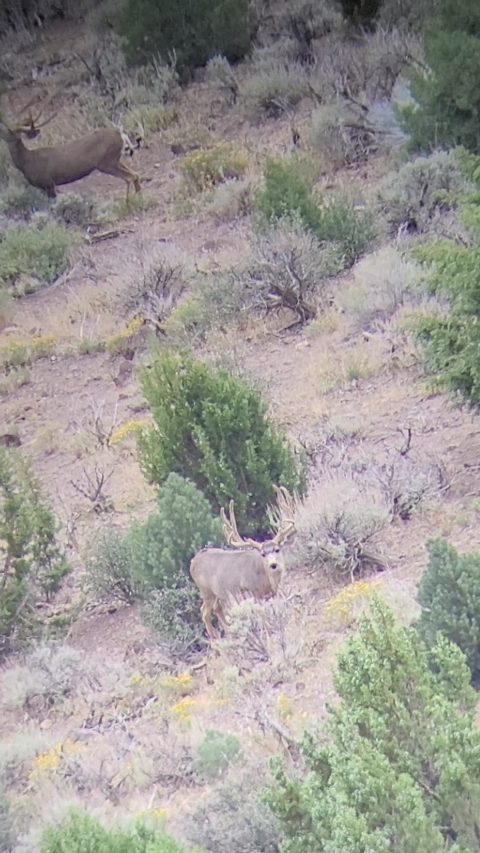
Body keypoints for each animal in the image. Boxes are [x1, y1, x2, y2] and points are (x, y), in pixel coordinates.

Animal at [0, 103, 141, 199]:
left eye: (10, 131)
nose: (1, 129)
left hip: (106, 162)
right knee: (135, 174)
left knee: (129, 177)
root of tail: (120, 133)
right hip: (115, 159)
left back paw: (128, 202)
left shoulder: (48, 183)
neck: (28, 162)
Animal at [190, 487, 296, 640]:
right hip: (206, 591)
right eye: (263, 554)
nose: (273, 565)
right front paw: (268, 633)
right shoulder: (251, 592)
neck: (266, 580)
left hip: (218, 594)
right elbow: (262, 615)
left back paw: (230, 632)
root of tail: (193, 562)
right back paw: (215, 640)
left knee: (217, 608)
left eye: (277, 549)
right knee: (204, 612)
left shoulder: (272, 594)